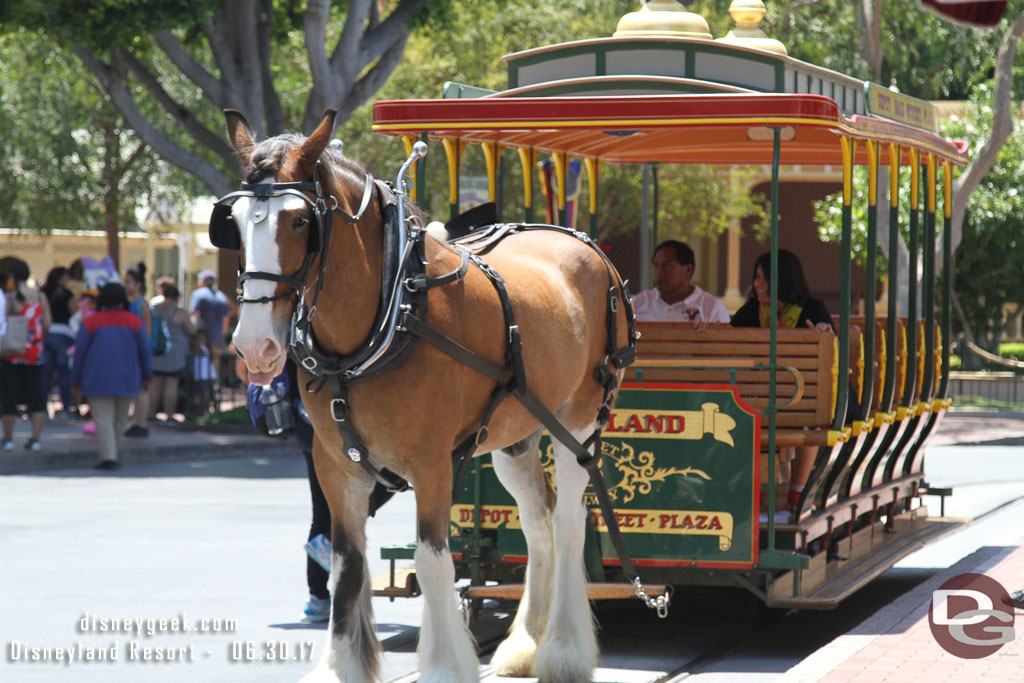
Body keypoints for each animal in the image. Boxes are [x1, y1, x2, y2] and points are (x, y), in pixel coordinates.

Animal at [220, 109, 626, 679]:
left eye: (300, 222)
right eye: (232, 223)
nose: (255, 344)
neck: (392, 316)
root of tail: (585, 245)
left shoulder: (432, 463)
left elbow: (432, 562)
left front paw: (442, 665)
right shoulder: (336, 465)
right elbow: (347, 566)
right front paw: (338, 665)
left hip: (580, 421)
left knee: (570, 520)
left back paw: (562, 649)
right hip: (515, 435)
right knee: (538, 522)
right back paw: (525, 643)